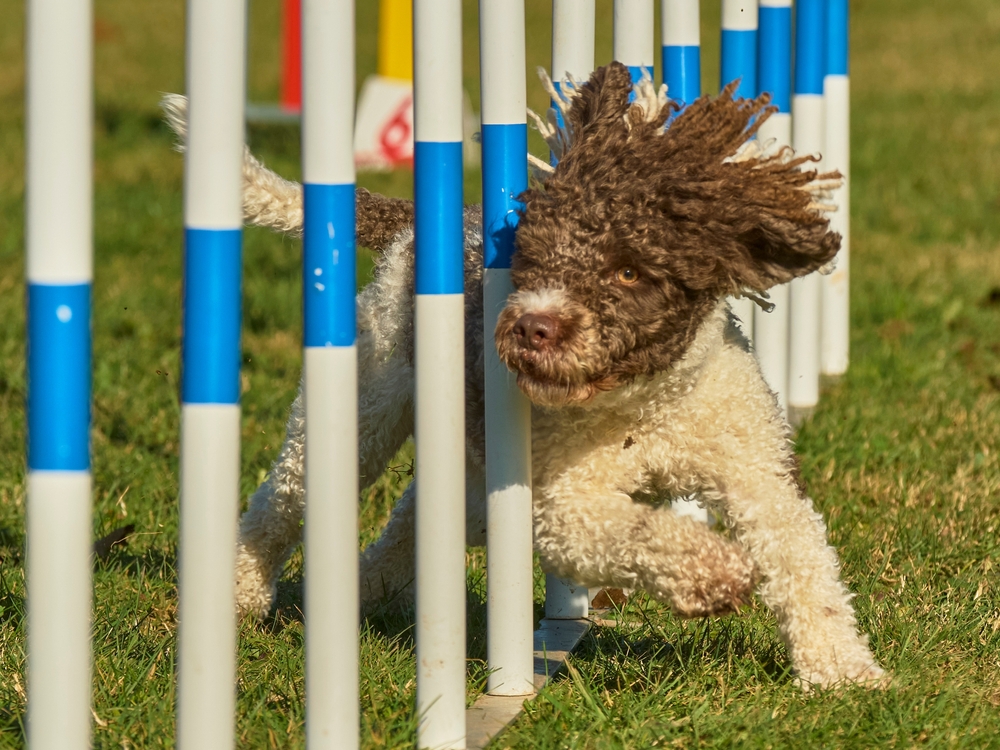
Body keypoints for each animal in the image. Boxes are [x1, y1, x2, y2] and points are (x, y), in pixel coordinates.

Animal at [166, 61, 892, 692]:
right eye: (532, 256)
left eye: (629, 270)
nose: (531, 328)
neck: (643, 404)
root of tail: (418, 226)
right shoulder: (563, 502)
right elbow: (638, 531)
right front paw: (714, 573)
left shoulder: (757, 471)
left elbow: (804, 561)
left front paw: (845, 673)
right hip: (366, 403)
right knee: (282, 500)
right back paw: (242, 593)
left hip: (470, 473)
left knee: (407, 524)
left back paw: (362, 594)